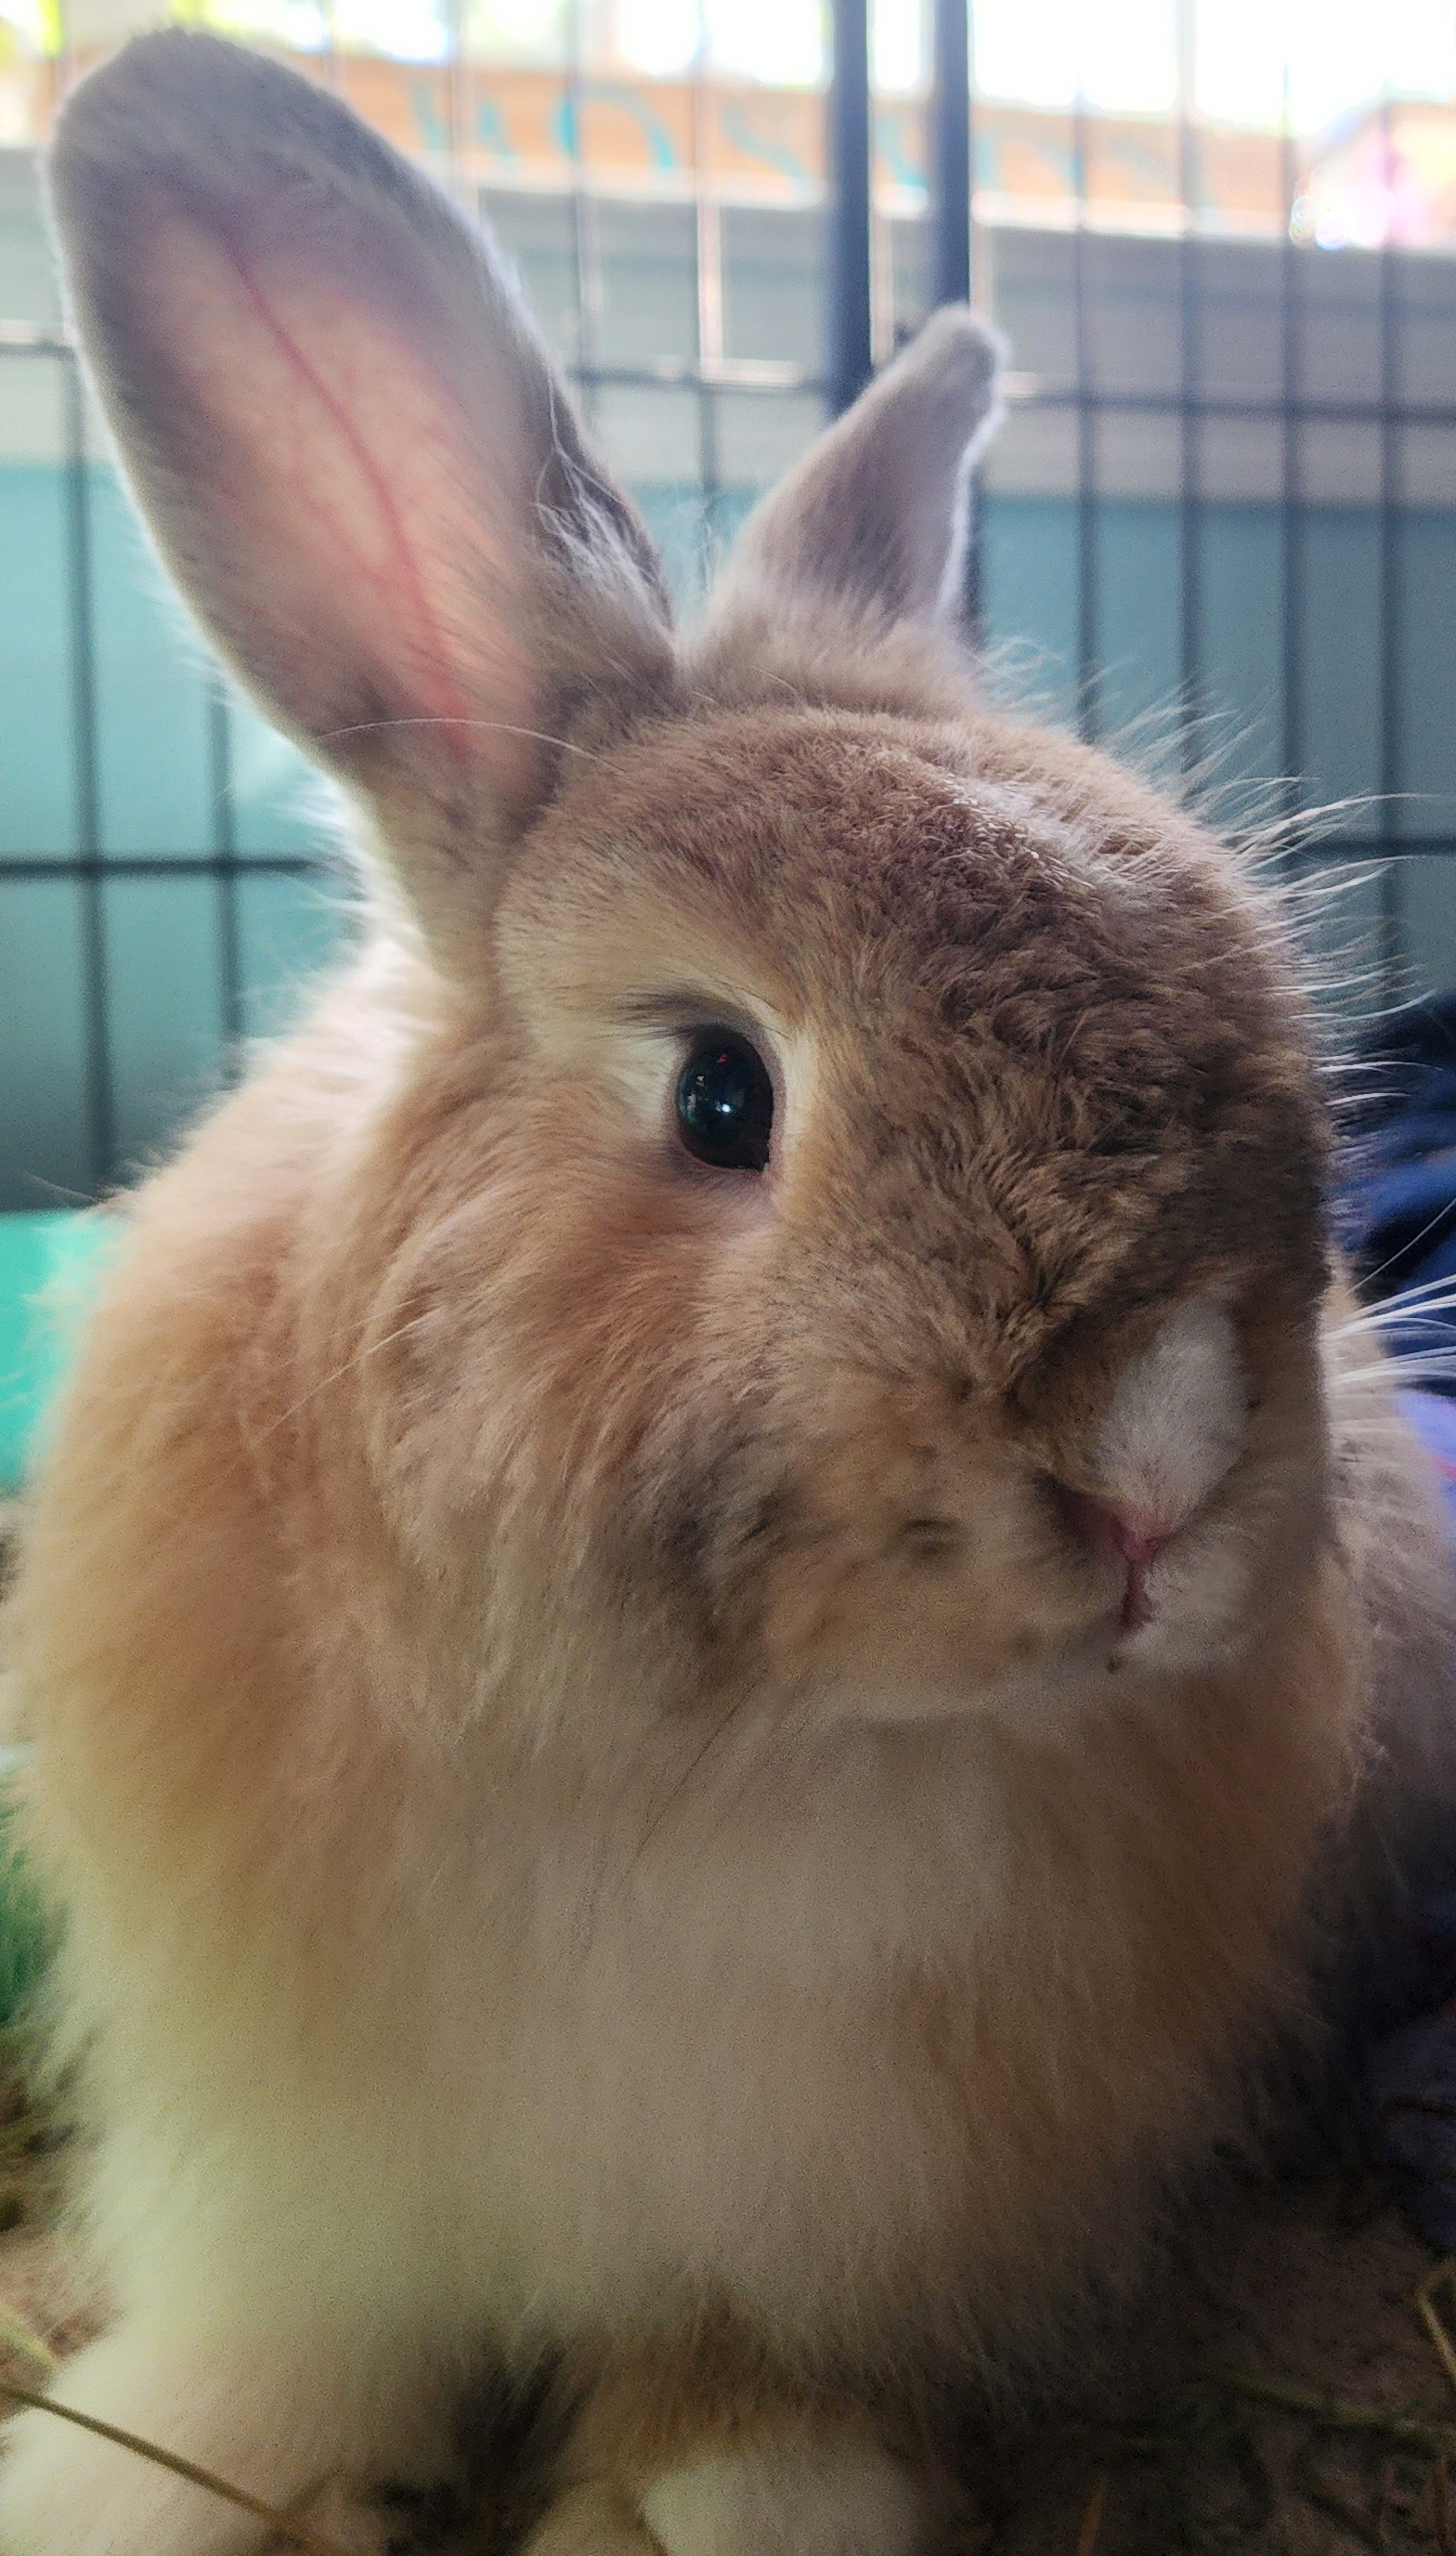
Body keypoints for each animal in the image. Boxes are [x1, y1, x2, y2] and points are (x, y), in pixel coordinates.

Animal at [2, 25, 1454, 2556]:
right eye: (714, 1096)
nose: (1162, 1477)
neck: (707, 1757)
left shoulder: (831, 2210)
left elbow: (736, 2372)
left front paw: (738, 2498)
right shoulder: (299, 2163)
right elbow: (278, 2352)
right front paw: (118, 2481)